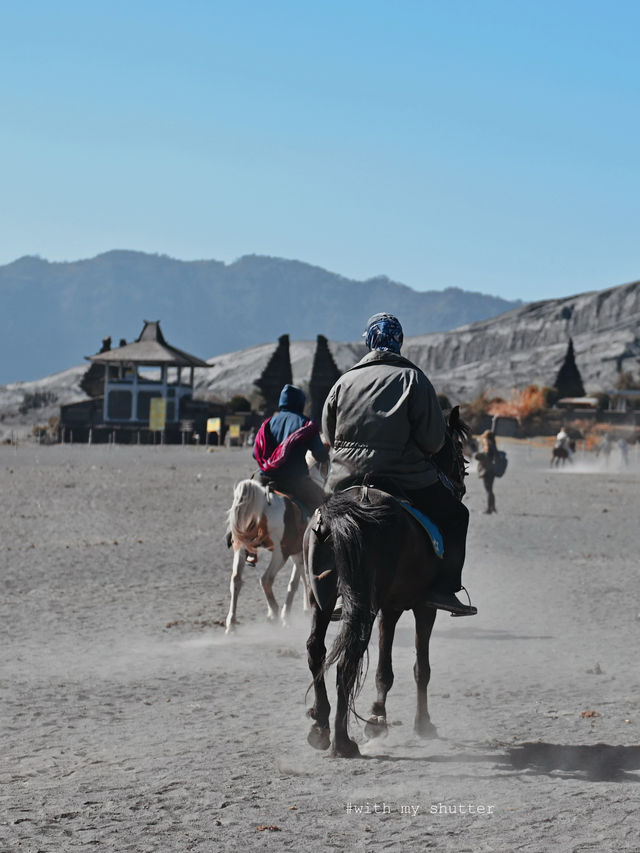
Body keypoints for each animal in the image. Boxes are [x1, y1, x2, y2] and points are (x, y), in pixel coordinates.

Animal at [304, 410, 470, 756]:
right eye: (458, 451)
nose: (460, 483)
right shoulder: (423, 608)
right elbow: (421, 669)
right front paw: (423, 725)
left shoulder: (389, 609)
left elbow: (384, 670)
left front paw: (377, 720)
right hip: (365, 607)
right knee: (347, 662)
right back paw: (342, 741)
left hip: (321, 599)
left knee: (316, 651)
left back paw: (321, 725)